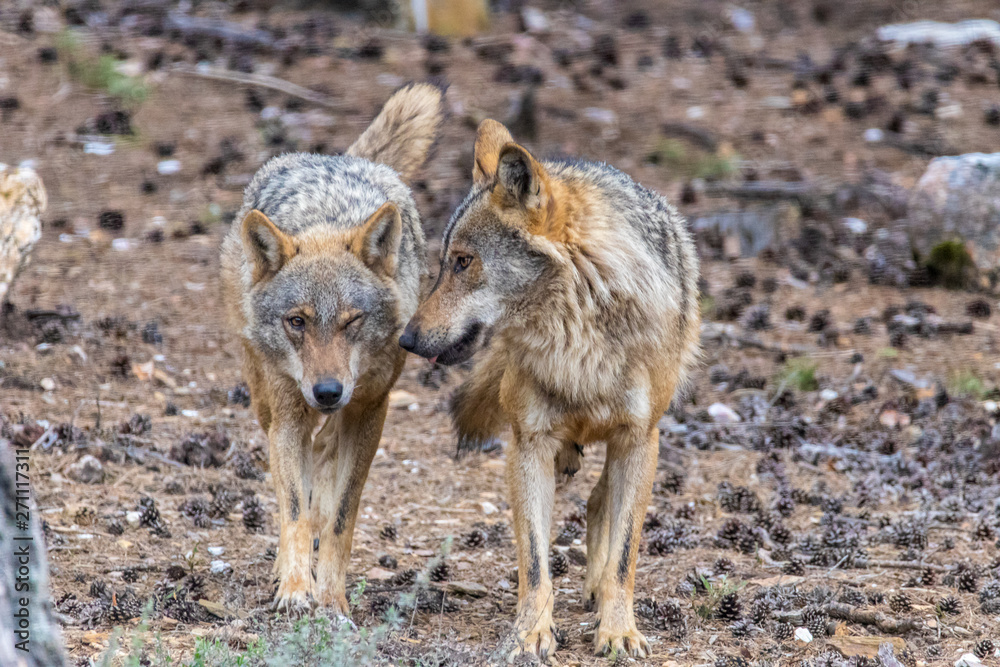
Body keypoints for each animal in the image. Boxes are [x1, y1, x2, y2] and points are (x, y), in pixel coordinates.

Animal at [223, 83, 446, 616]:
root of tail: (337, 158)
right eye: (297, 322)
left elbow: (342, 516)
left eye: (352, 322)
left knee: (323, 457)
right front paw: (295, 590)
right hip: (265, 401)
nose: (326, 391)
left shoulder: (370, 412)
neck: (326, 219)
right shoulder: (288, 413)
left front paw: (332, 601)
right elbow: (294, 509)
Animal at [394, 118, 700, 656]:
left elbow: (625, 555)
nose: (406, 340)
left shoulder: (640, 439)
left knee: (601, 503)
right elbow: (535, 562)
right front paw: (529, 633)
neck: (577, 340)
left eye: (463, 261)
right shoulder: (527, 444)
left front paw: (619, 631)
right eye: (444, 262)